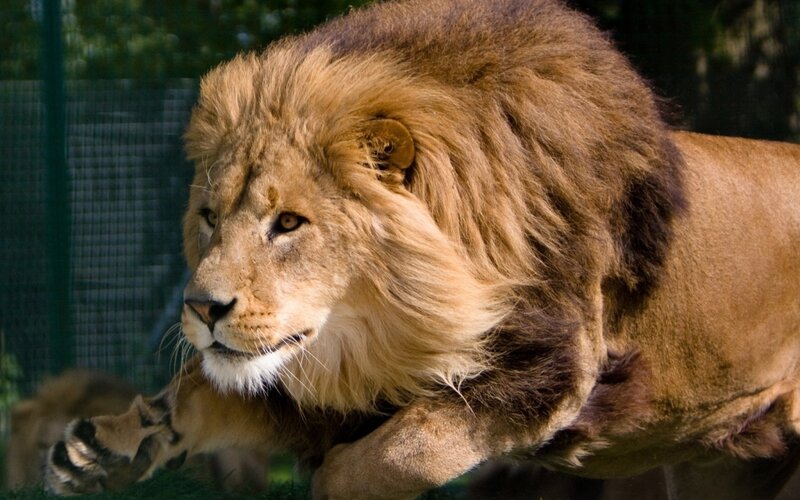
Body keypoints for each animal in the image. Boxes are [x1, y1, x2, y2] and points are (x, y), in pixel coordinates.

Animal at [44, 0, 800, 498]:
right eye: (208, 216)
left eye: (288, 223)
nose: (202, 308)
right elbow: (201, 391)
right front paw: (104, 447)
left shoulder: (556, 367)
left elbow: (404, 450)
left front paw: (333, 478)